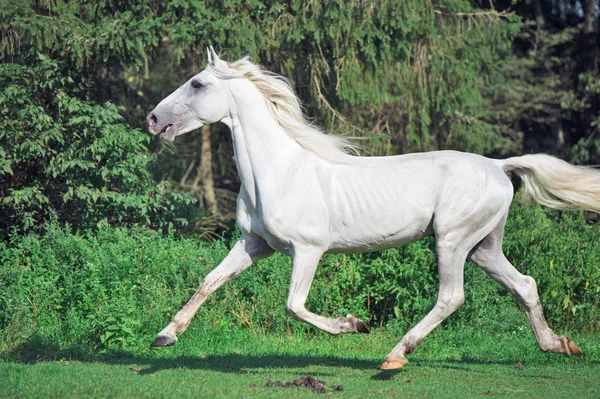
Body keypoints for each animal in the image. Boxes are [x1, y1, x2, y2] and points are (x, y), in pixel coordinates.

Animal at [146, 47, 600, 372]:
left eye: (197, 83)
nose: (152, 119)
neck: (279, 172)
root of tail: (499, 165)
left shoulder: (307, 250)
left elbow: (294, 305)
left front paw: (353, 325)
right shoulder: (254, 245)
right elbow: (209, 282)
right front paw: (165, 336)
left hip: (452, 240)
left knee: (451, 296)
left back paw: (395, 355)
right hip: (483, 246)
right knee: (524, 284)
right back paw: (559, 345)